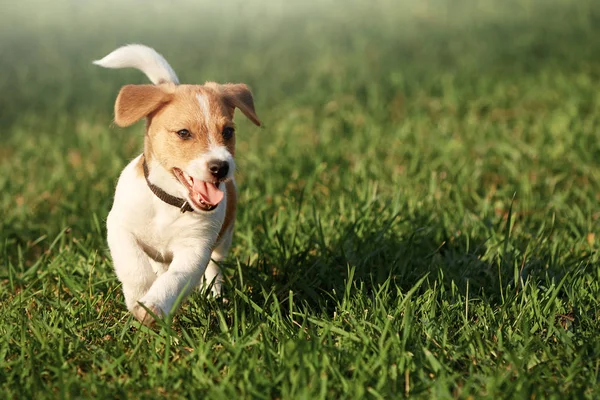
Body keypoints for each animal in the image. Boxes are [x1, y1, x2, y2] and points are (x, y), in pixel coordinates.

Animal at [94, 44, 260, 324]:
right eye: (183, 133)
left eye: (228, 132)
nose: (221, 167)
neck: (169, 203)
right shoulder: (119, 228)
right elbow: (133, 265)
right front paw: (139, 295)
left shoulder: (195, 249)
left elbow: (175, 279)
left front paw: (153, 304)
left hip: (223, 240)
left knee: (214, 268)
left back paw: (214, 296)